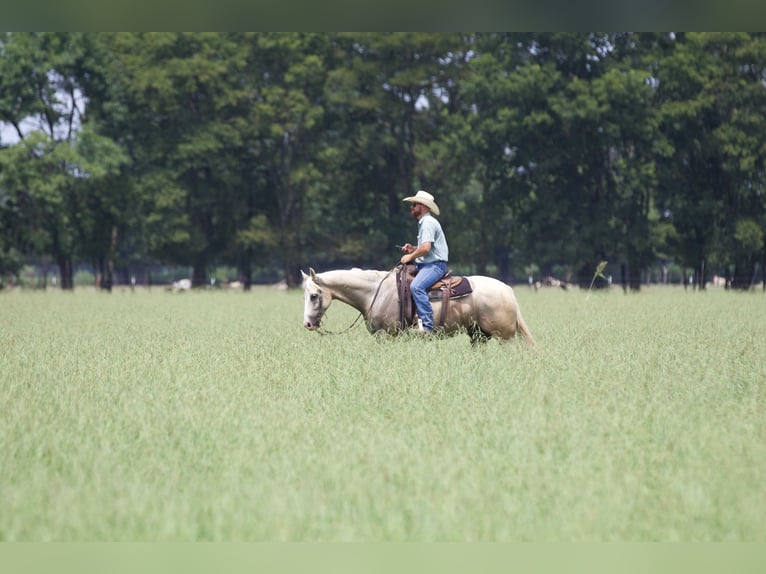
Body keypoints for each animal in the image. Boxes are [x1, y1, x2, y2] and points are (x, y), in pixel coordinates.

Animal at [304, 268, 536, 348]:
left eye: (314, 295)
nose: (307, 324)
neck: (374, 292)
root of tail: (508, 290)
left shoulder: (386, 336)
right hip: (479, 336)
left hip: (505, 337)